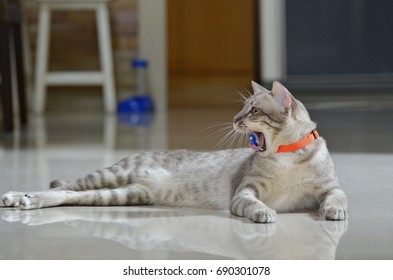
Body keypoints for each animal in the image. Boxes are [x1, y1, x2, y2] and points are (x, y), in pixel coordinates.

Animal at [2, 81, 346, 223]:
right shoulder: (245, 192)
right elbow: (253, 204)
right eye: (244, 109)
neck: (288, 157)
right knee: (64, 186)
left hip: (122, 195)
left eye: (254, 110)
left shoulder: (331, 188)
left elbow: (336, 199)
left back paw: (25, 200)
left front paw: (334, 211)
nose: (235, 120)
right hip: (111, 174)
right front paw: (264, 212)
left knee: (69, 194)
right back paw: (19, 196)